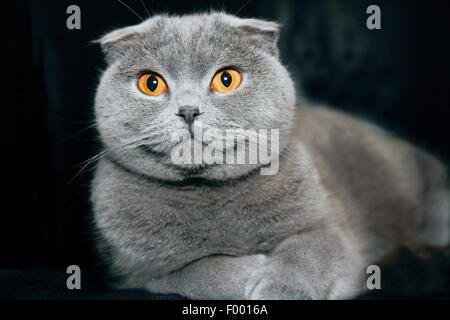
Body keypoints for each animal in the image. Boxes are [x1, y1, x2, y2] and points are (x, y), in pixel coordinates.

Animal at [89, 11, 448, 298]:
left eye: (226, 79)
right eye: (151, 83)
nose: (188, 110)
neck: (207, 195)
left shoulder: (332, 231)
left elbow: (308, 252)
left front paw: (279, 287)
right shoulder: (136, 273)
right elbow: (195, 271)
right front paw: (249, 270)